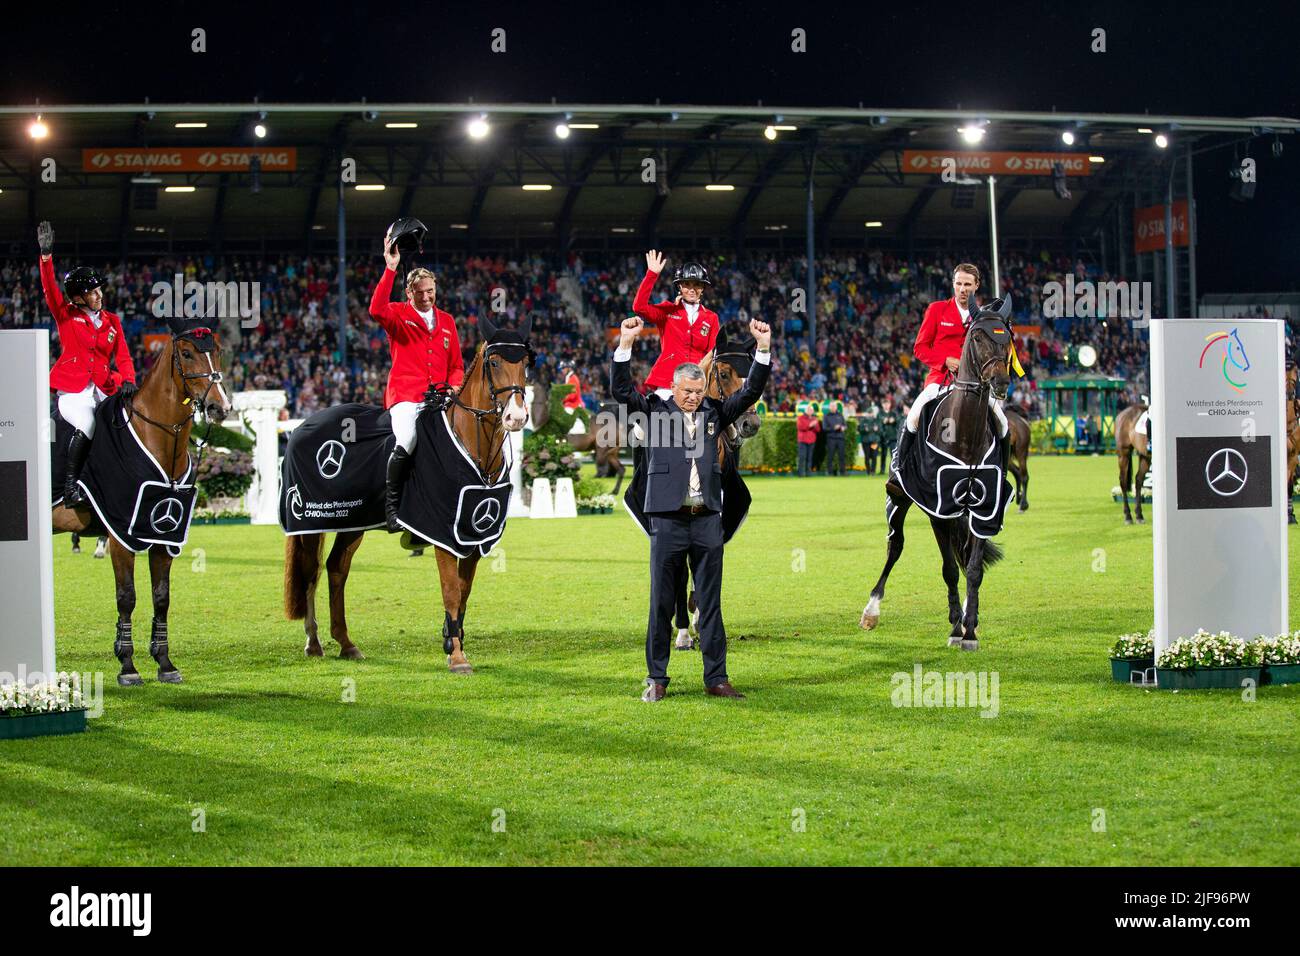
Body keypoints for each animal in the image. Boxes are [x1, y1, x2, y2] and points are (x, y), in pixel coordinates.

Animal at [52, 325, 233, 686]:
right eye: (187, 354)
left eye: (218, 351)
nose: (220, 407)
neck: (157, 436)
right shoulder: (122, 535)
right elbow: (127, 597)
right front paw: (127, 665)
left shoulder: (162, 535)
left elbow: (161, 597)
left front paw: (164, 663)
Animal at [282, 317, 530, 676]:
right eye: (494, 363)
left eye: (525, 363)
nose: (516, 417)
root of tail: (301, 425)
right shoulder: (442, 532)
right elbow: (451, 590)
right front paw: (457, 657)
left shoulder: (473, 534)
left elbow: (464, 592)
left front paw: (452, 639)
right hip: (312, 521)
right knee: (311, 573)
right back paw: (314, 642)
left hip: (353, 522)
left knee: (336, 567)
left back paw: (345, 643)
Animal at [857, 299, 1019, 650]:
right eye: (977, 337)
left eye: (1008, 338)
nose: (999, 383)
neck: (965, 436)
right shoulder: (938, 509)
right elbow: (949, 570)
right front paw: (956, 628)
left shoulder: (983, 509)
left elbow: (973, 569)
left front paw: (970, 630)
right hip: (899, 499)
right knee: (895, 547)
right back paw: (871, 610)